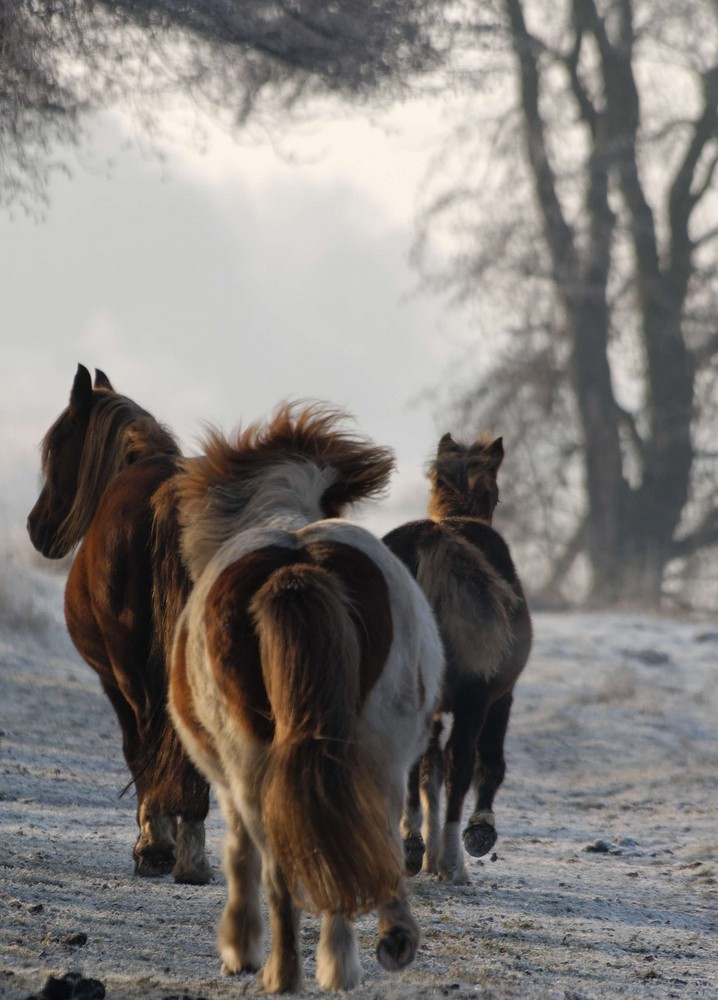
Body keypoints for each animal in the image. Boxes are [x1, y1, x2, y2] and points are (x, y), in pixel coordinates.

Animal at [27, 366, 211, 884]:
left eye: (58, 445)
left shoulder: (111, 678)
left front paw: (152, 837)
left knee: (149, 736)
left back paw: (159, 846)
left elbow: (136, 748)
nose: (35, 527)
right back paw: (194, 853)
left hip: (131, 672)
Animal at [170, 400, 444, 992]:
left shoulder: (228, 781)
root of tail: (297, 566)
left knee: (282, 866)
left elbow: (240, 857)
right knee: (354, 842)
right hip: (375, 755)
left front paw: (239, 949)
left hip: (254, 765)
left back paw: (288, 972)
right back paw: (367, 953)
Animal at [386, 430, 532, 884]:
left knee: (419, 759)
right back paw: (453, 857)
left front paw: (427, 850)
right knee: (462, 759)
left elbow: (428, 772)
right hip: (474, 697)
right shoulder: (501, 696)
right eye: (497, 496)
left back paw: (412, 848)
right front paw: (478, 831)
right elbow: (487, 763)